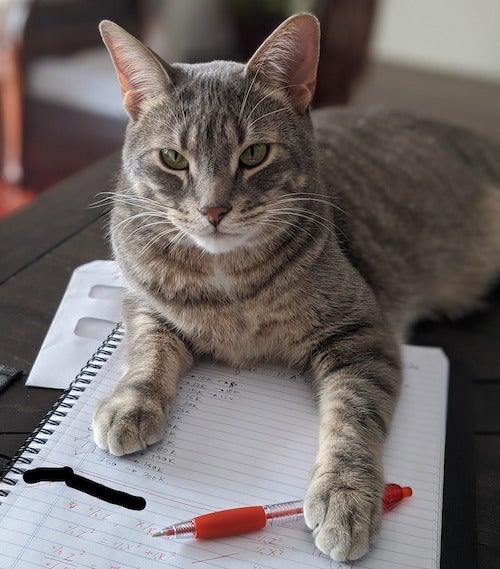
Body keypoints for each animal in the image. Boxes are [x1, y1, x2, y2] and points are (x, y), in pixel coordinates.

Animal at [92, 12, 500, 560]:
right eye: (174, 158)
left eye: (255, 154)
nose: (213, 210)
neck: (227, 281)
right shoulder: (141, 302)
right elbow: (147, 353)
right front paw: (130, 404)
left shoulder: (363, 333)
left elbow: (352, 417)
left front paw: (345, 496)